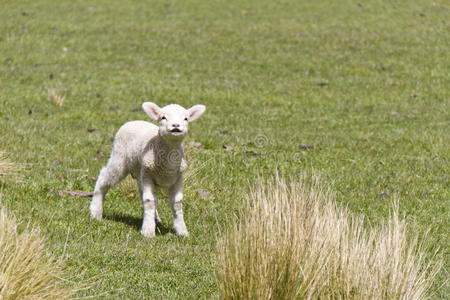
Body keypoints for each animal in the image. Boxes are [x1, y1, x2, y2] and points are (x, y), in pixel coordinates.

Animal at [89, 102, 206, 238]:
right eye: (163, 117)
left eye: (186, 118)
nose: (176, 125)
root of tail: (133, 121)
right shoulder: (148, 174)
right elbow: (149, 201)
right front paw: (148, 231)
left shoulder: (177, 177)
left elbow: (177, 204)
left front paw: (182, 231)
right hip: (120, 158)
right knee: (104, 177)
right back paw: (95, 211)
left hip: (140, 173)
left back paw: (156, 219)